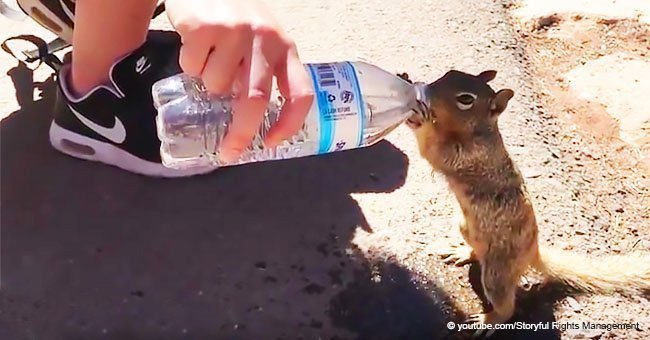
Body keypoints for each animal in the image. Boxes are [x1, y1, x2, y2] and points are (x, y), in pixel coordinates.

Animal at [394, 71, 648, 330]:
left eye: (466, 99)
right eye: (449, 73)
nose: (427, 91)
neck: (479, 131)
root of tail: (532, 251)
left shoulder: (465, 155)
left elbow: (431, 150)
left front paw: (419, 117)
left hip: (497, 274)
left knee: (506, 307)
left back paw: (488, 320)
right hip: (465, 227)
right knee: (477, 252)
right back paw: (464, 252)